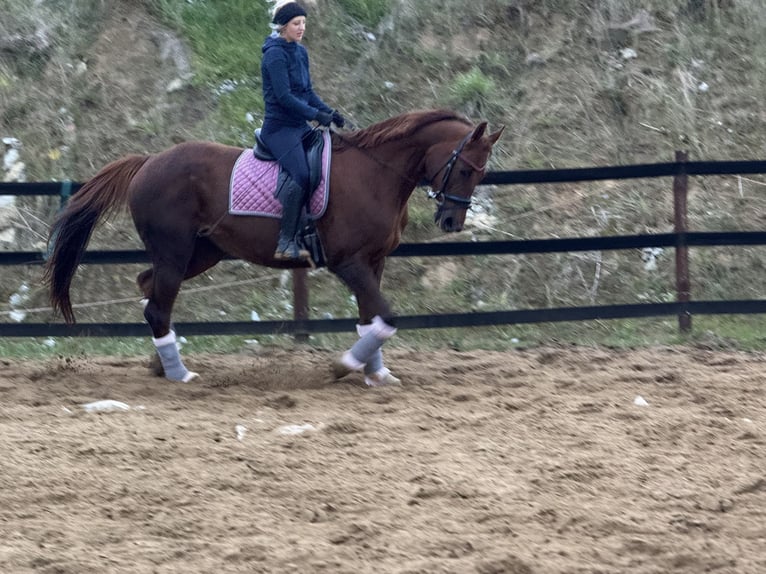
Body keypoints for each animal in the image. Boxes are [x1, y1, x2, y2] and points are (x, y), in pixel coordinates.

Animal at [44, 109, 504, 386]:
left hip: (201, 253)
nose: (451, 222)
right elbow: (386, 316)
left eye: (481, 173)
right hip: (175, 252)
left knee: (150, 290)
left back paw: (160, 364)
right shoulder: (348, 263)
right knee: (158, 304)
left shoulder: (374, 263)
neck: (376, 174)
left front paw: (376, 374)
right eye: (466, 169)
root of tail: (148, 162)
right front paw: (344, 366)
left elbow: (370, 317)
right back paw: (179, 375)